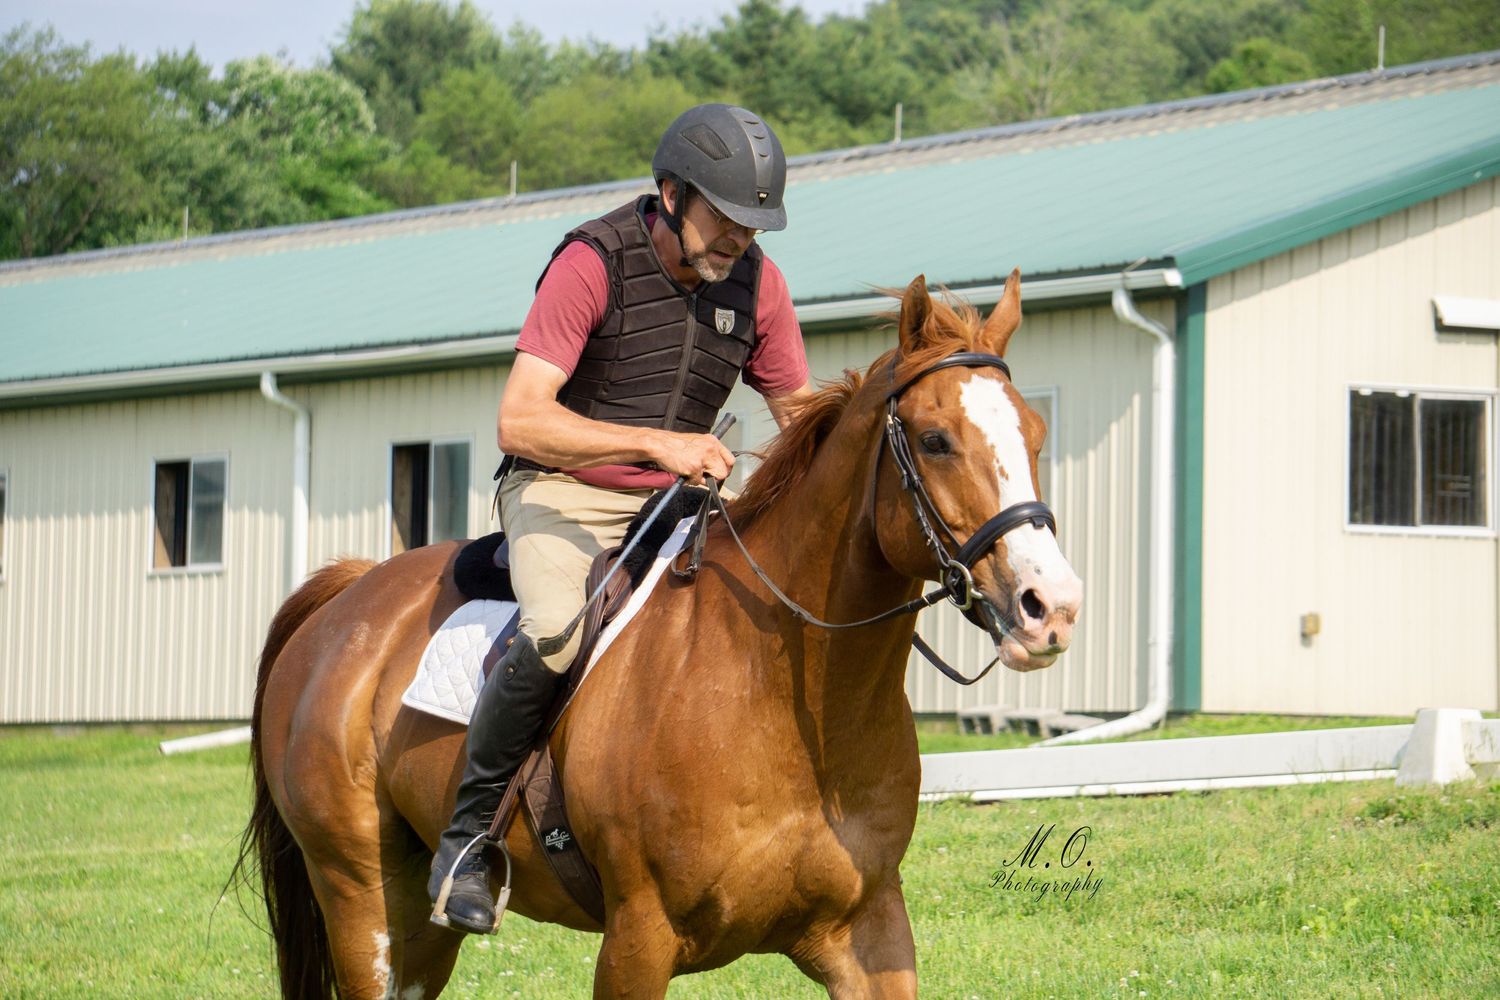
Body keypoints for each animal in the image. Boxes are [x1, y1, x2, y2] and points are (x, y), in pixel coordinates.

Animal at [237, 270, 1083, 999]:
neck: (783, 697)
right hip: (360, 894)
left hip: (420, 920)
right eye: (936, 440)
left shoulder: (869, 934)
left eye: (1037, 434)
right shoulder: (638, 940)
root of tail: (348, 596)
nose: (1053, 607)